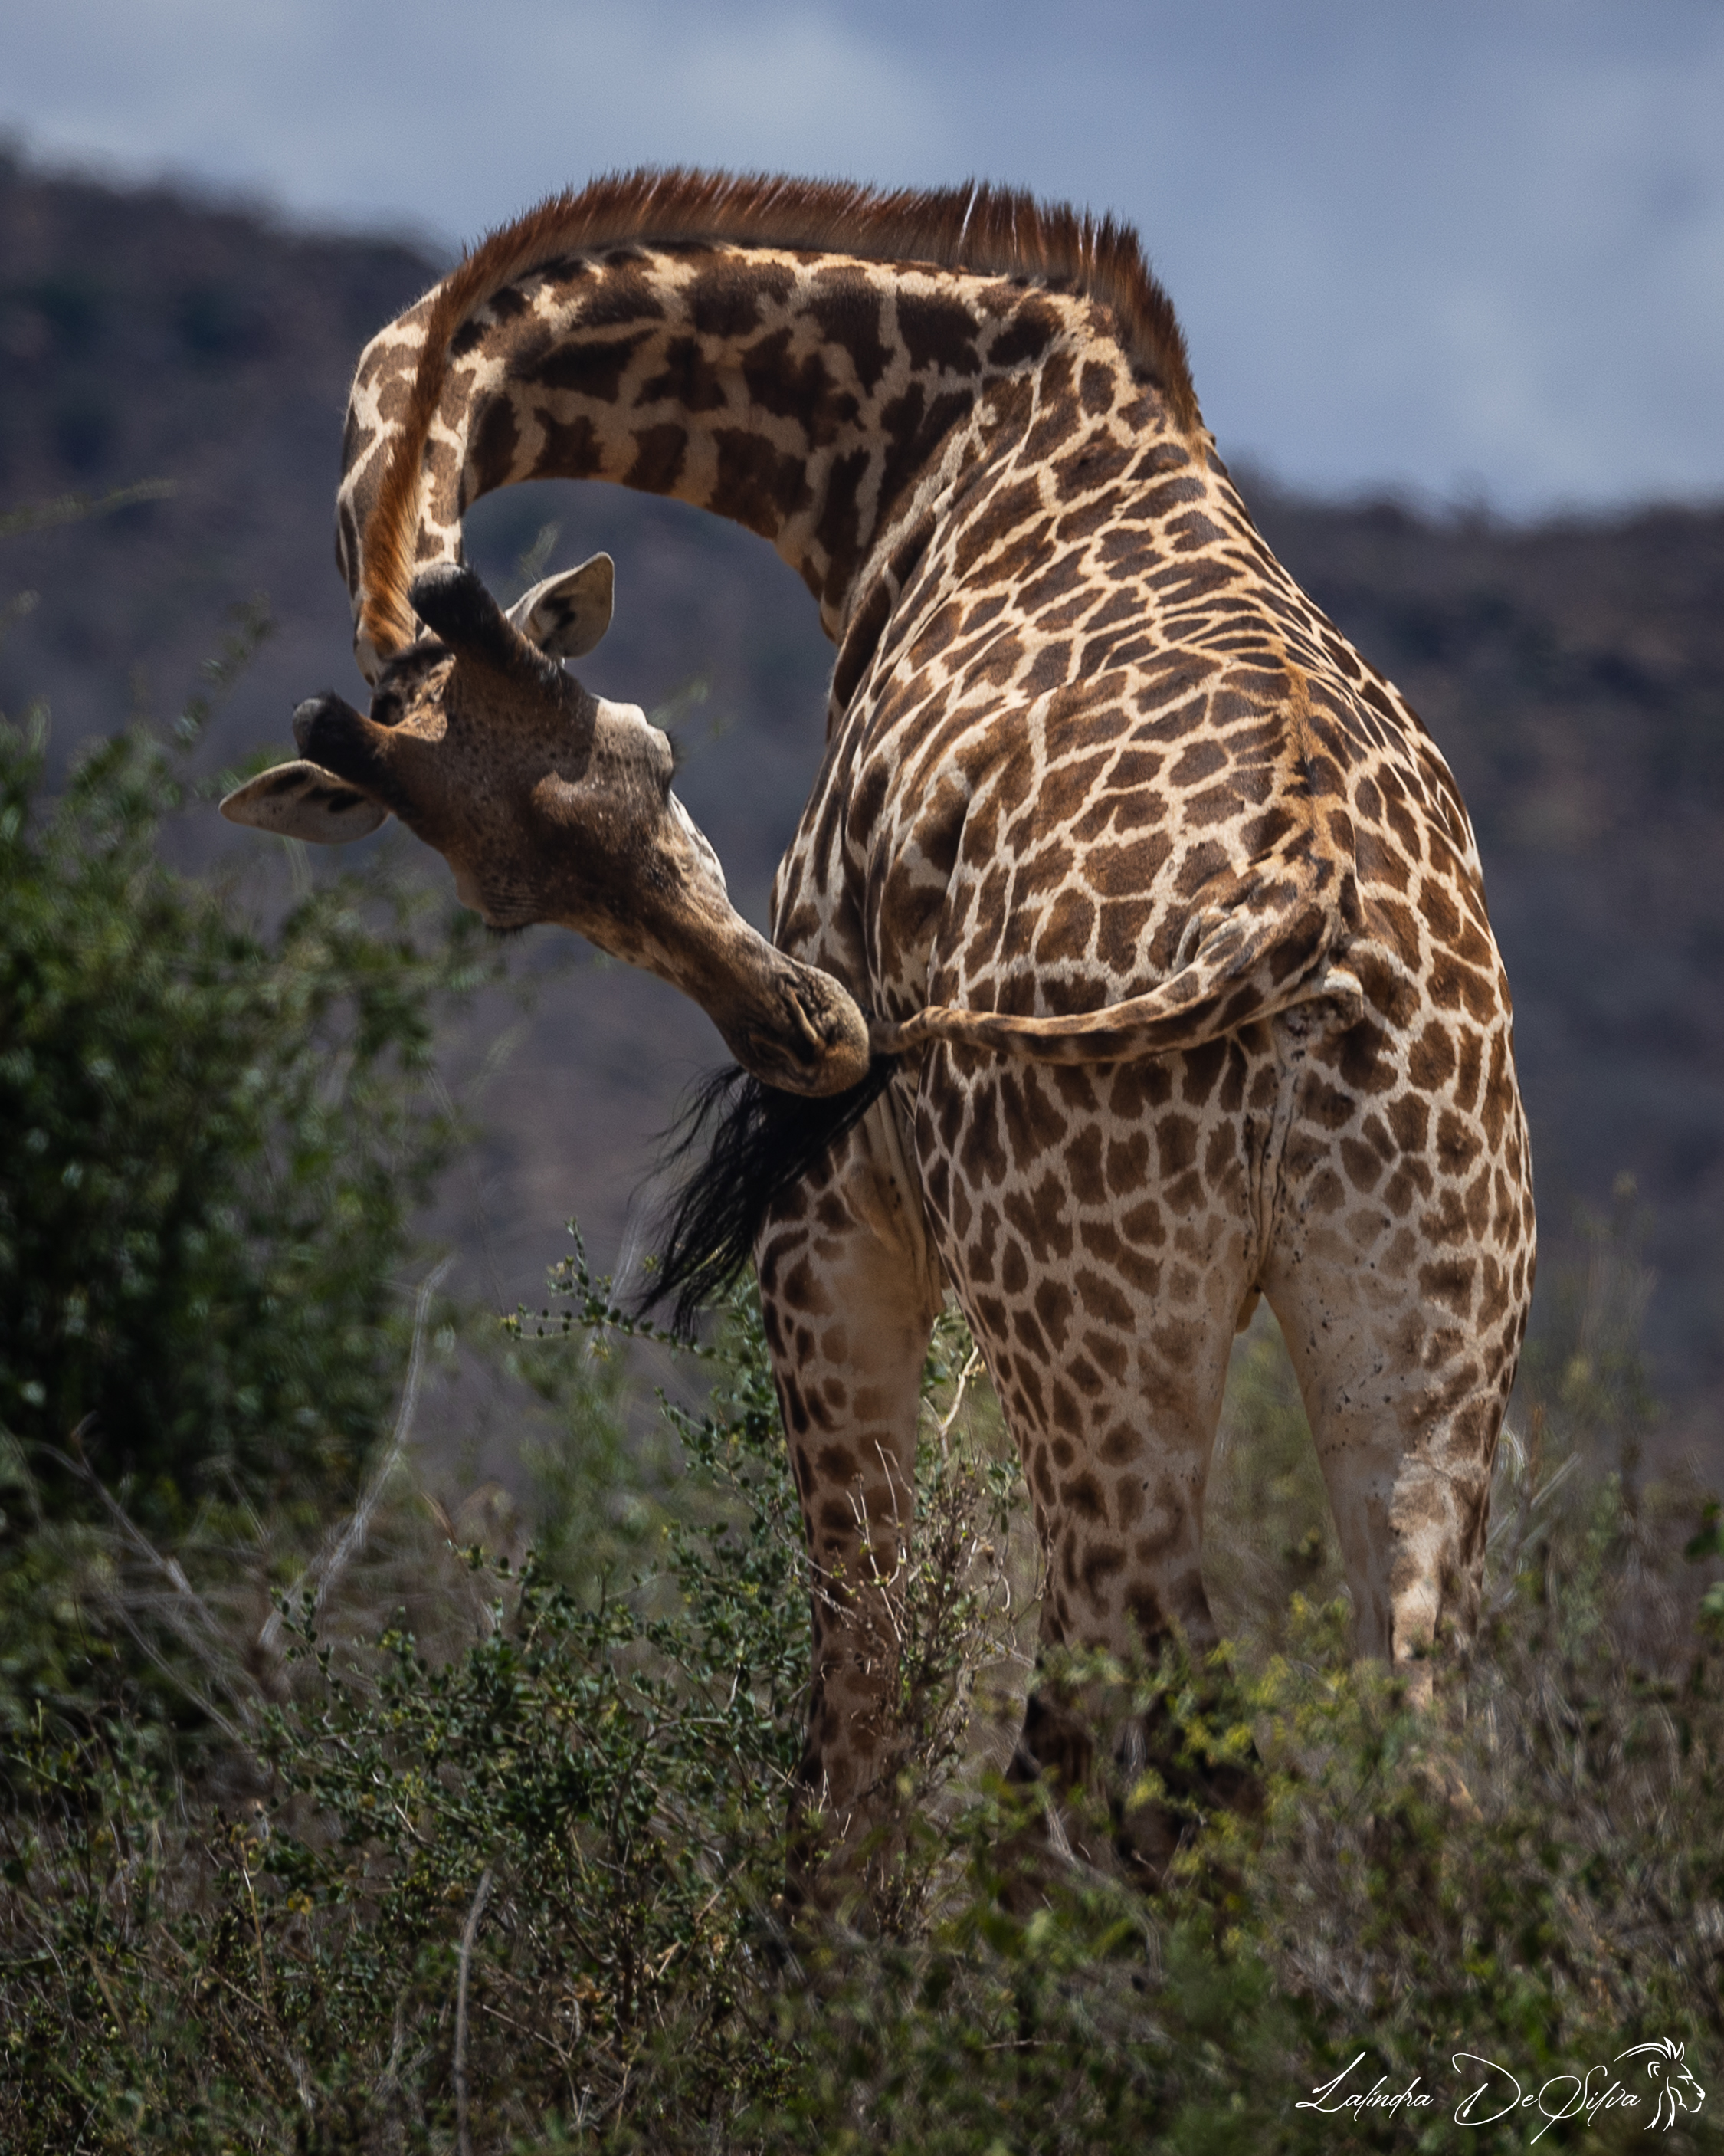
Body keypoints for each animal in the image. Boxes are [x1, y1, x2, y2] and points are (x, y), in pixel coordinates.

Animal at [222, 171, 1535, 1878]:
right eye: (506, 900)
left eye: (652, 750)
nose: (814, 1040)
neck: (917, 435)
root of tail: (1303, 921)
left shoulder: (833, 1218)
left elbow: (857, 1666)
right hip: (1425, 1333)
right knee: (1407, 1756)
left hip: (1090, 1319)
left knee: (1166, 1723)